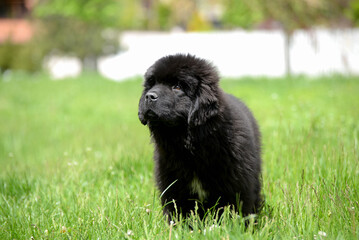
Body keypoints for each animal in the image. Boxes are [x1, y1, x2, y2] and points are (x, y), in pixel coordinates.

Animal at [139, 54, 262, 221]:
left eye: (177, 87)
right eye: (152, 83)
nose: (149, 96)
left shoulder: (238, 185)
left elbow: (238, 210)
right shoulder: (172, 185)